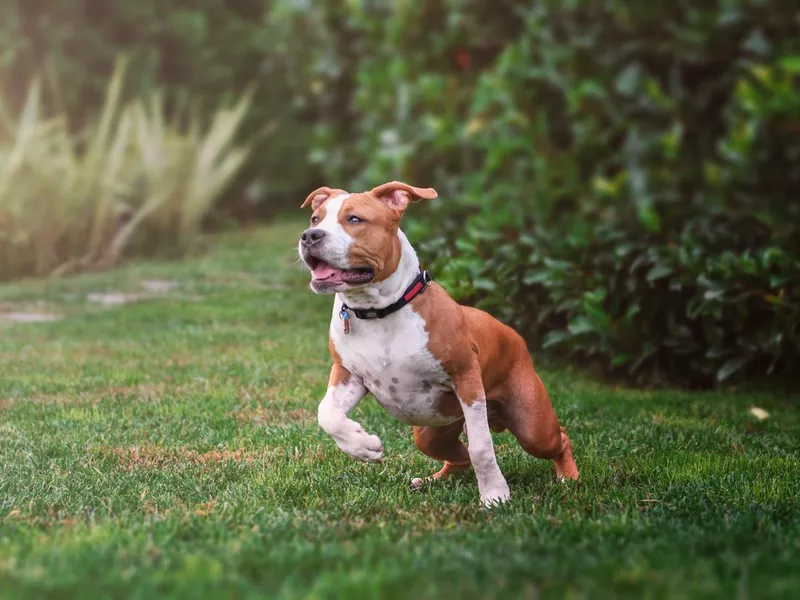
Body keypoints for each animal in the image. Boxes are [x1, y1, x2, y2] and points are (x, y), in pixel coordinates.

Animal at [296, 179, 580, 506]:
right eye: (315, 219)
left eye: (355, 219)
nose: (310, 236)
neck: (379, 311)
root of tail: (513, 333)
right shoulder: (348, 374)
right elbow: (327, 413)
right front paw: (363, 446)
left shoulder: (466, 378)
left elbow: (481, 447)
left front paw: (495, 495)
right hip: (431, 434)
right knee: (457, 456)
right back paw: (433, 480)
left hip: (532, 426)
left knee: (558, 437)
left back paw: (569, 477)